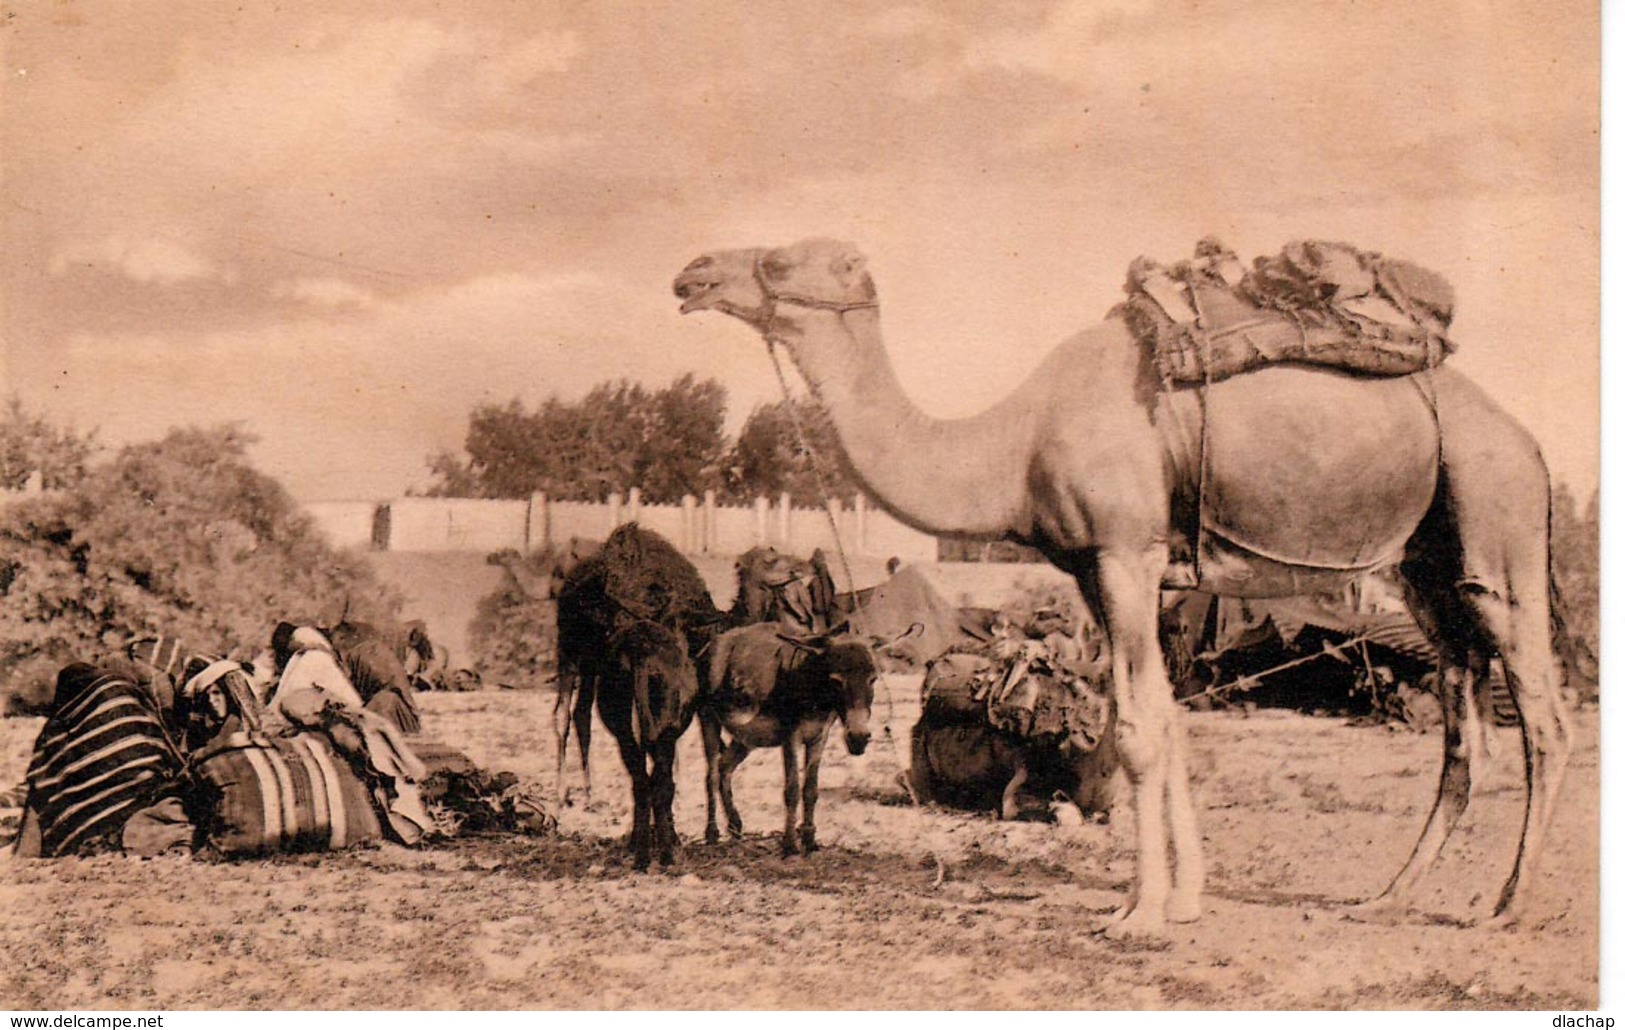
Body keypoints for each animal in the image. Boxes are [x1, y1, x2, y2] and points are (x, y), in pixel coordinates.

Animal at [666, 237, 1566, 935]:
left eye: (780, 261)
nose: (693, 273)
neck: (1012, 445)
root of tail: (1527, 440)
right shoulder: (1096, 568)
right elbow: (1164, 720)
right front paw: (1184, 900)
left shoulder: (1127, 553)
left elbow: (1135, 729)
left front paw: (1139, 914)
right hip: (1426, 566)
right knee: (1464, 734)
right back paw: (1386, 899)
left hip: (1498, 520)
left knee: (1543, 719)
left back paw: (1507, 907)